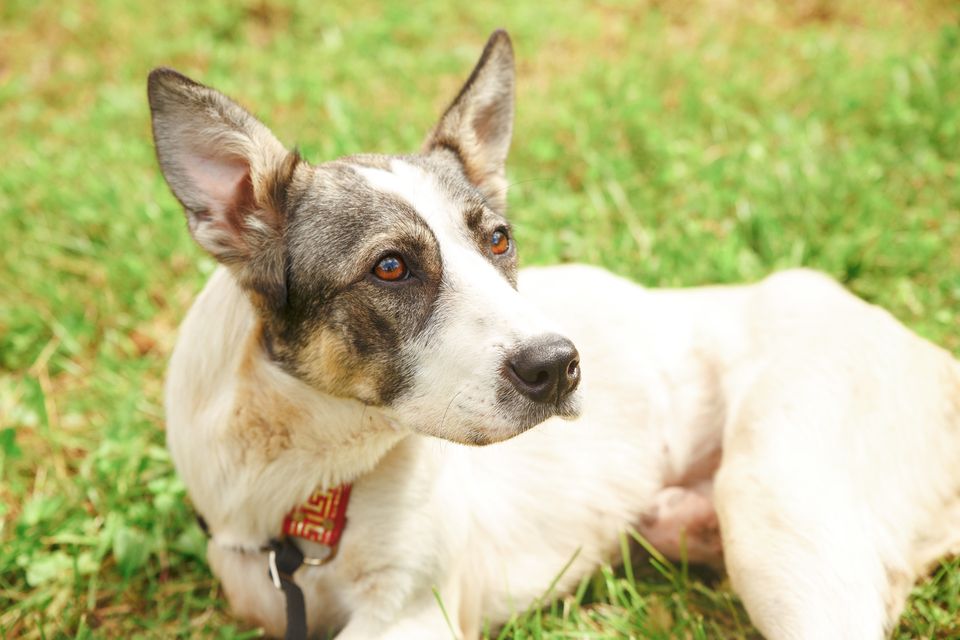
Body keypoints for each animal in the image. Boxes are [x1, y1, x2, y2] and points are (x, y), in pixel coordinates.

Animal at [150, 28, 960, 636]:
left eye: (499, 239)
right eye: (390, 268)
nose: (561, 366)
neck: (307, 483)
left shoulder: (413, 611)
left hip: (776, 512)